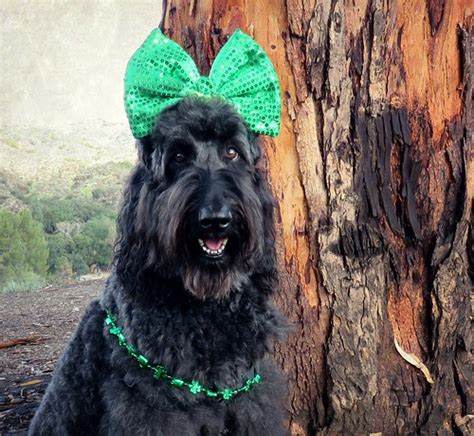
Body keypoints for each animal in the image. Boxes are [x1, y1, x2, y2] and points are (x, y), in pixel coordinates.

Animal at [31, 97, 288, 434]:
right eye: (178, 156)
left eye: (232, 152)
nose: (215, 220)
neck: (205, 307)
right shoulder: (152, 407)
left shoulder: (248, 398)